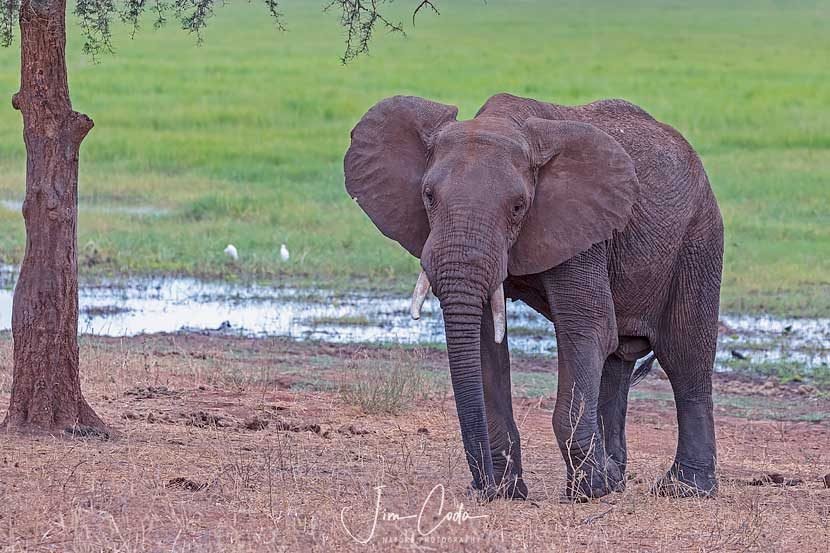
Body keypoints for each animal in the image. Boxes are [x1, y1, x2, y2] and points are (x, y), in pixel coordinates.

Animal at [343, 93, 723, 501]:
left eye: (518, 207)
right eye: (428, 196)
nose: (483, 488)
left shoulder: (582, 227)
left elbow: (586, 328)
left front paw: (588, 493)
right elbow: (486, 340)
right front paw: (509, 492)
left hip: (699, 236)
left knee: (684, 355)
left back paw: (683, 489)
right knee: (619, 357)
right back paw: (616, 480)